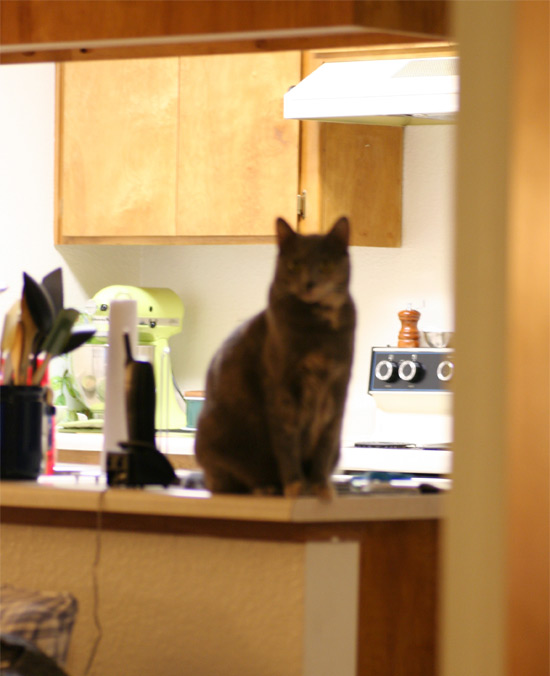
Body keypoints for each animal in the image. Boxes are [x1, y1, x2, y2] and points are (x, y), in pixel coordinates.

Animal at [195, 218, 358, 502]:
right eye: (294, 264)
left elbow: (325, 442)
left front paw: (321, 488)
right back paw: (266, 487)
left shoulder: (338, 389)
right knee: (229, 482)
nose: (309, 283)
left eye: (325, 264)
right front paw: (295, 486)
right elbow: (287, 441)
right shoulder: (282, 389)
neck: (320, 330)